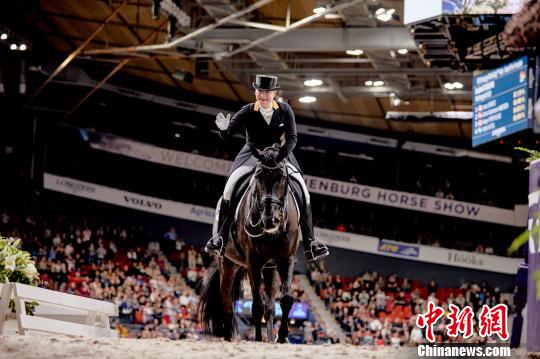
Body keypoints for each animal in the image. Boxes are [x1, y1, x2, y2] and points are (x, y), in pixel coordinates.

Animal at [197, 157, 300, 344]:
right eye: (258, 179)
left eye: (283, 178)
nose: (270, 220)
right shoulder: (253, 262)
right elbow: (257, 305)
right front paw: (258, 339)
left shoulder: (286, 259)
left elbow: (286, 299)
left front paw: (281, 336)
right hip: (227, 264)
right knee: (226, 299)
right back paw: (228, 336)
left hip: (270, 269)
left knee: (270, 306)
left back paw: (270, 338)